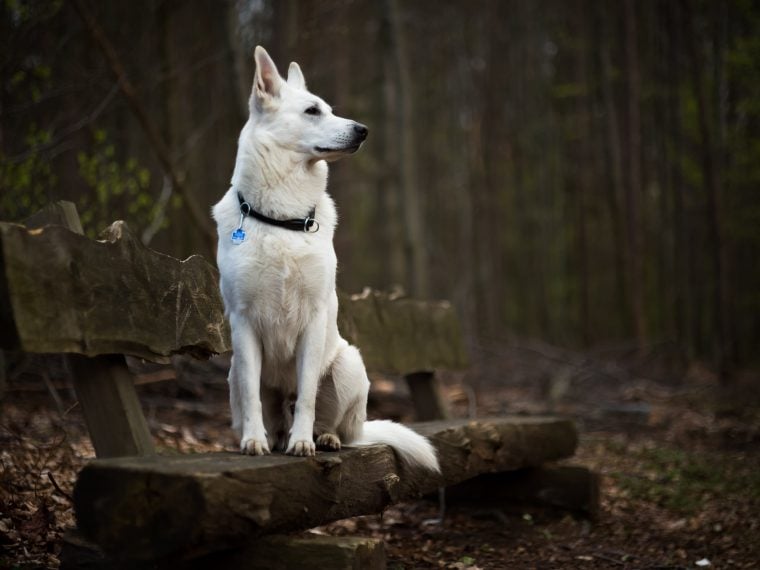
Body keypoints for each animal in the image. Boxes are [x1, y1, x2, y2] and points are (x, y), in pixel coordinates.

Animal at [212, 45, 440, 470]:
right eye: (312, 111)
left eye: (330, 109)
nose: (363, 130)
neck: (283, 220)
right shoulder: (244, 323)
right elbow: (253, 397)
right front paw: (253, 441)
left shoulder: (314, 319)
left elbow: (307, 397)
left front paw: (303, 443)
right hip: (234, 370)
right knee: (269, 414)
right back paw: (271, 437)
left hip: (349, 364)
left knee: (334, 423)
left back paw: (325, 438)